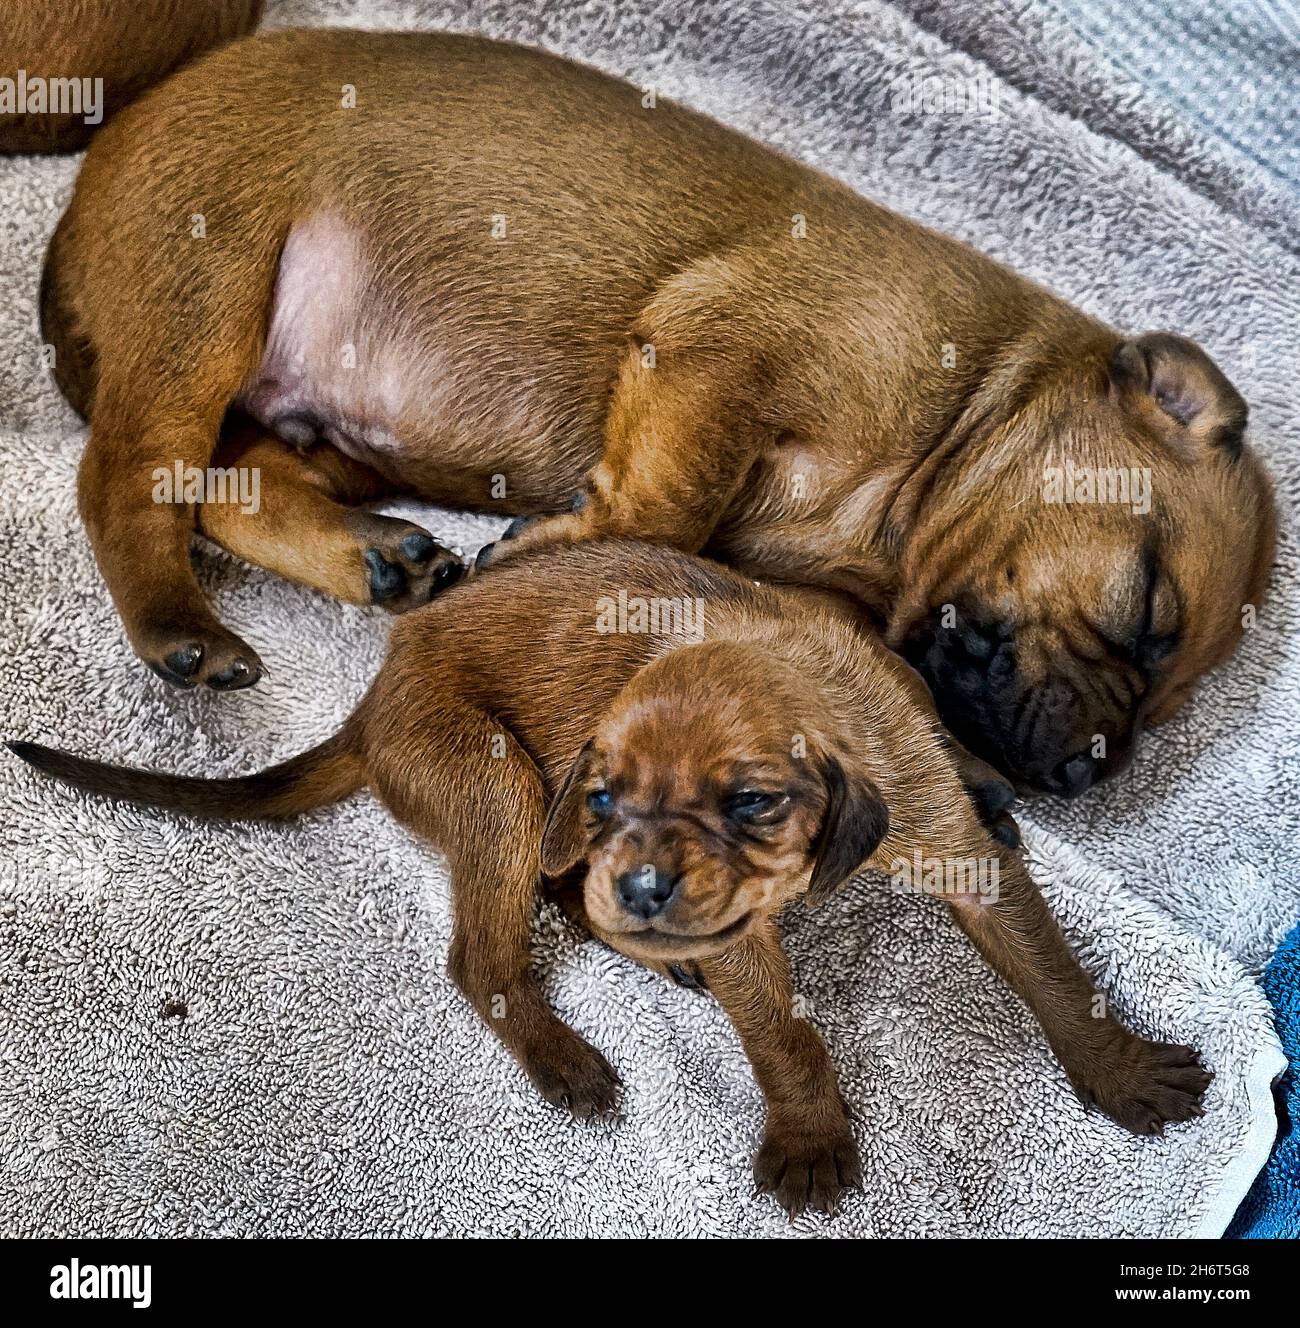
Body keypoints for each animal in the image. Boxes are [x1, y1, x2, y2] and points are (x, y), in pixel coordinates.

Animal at [5, 536, 1216, 1216]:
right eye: (607, 792)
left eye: (751, 801)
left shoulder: (958, 855)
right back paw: (565, 1057)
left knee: (542, 907)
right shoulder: (717, 919)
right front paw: (811, 1137)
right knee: (486, 957)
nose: (641, 890)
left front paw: (1118, 1074)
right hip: (500, 786)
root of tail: (370, 700)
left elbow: (1056, 978)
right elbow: (783, 1036)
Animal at [43, 28, 1280, 796]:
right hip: (209, 292)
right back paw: (184, 627)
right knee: (130, 479)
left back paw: (376, 558)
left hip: (320, 428)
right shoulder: (715, 354)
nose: (1085, 773)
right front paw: (554, 548)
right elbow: (664, 507)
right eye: (1148, 611)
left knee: (232, 486)